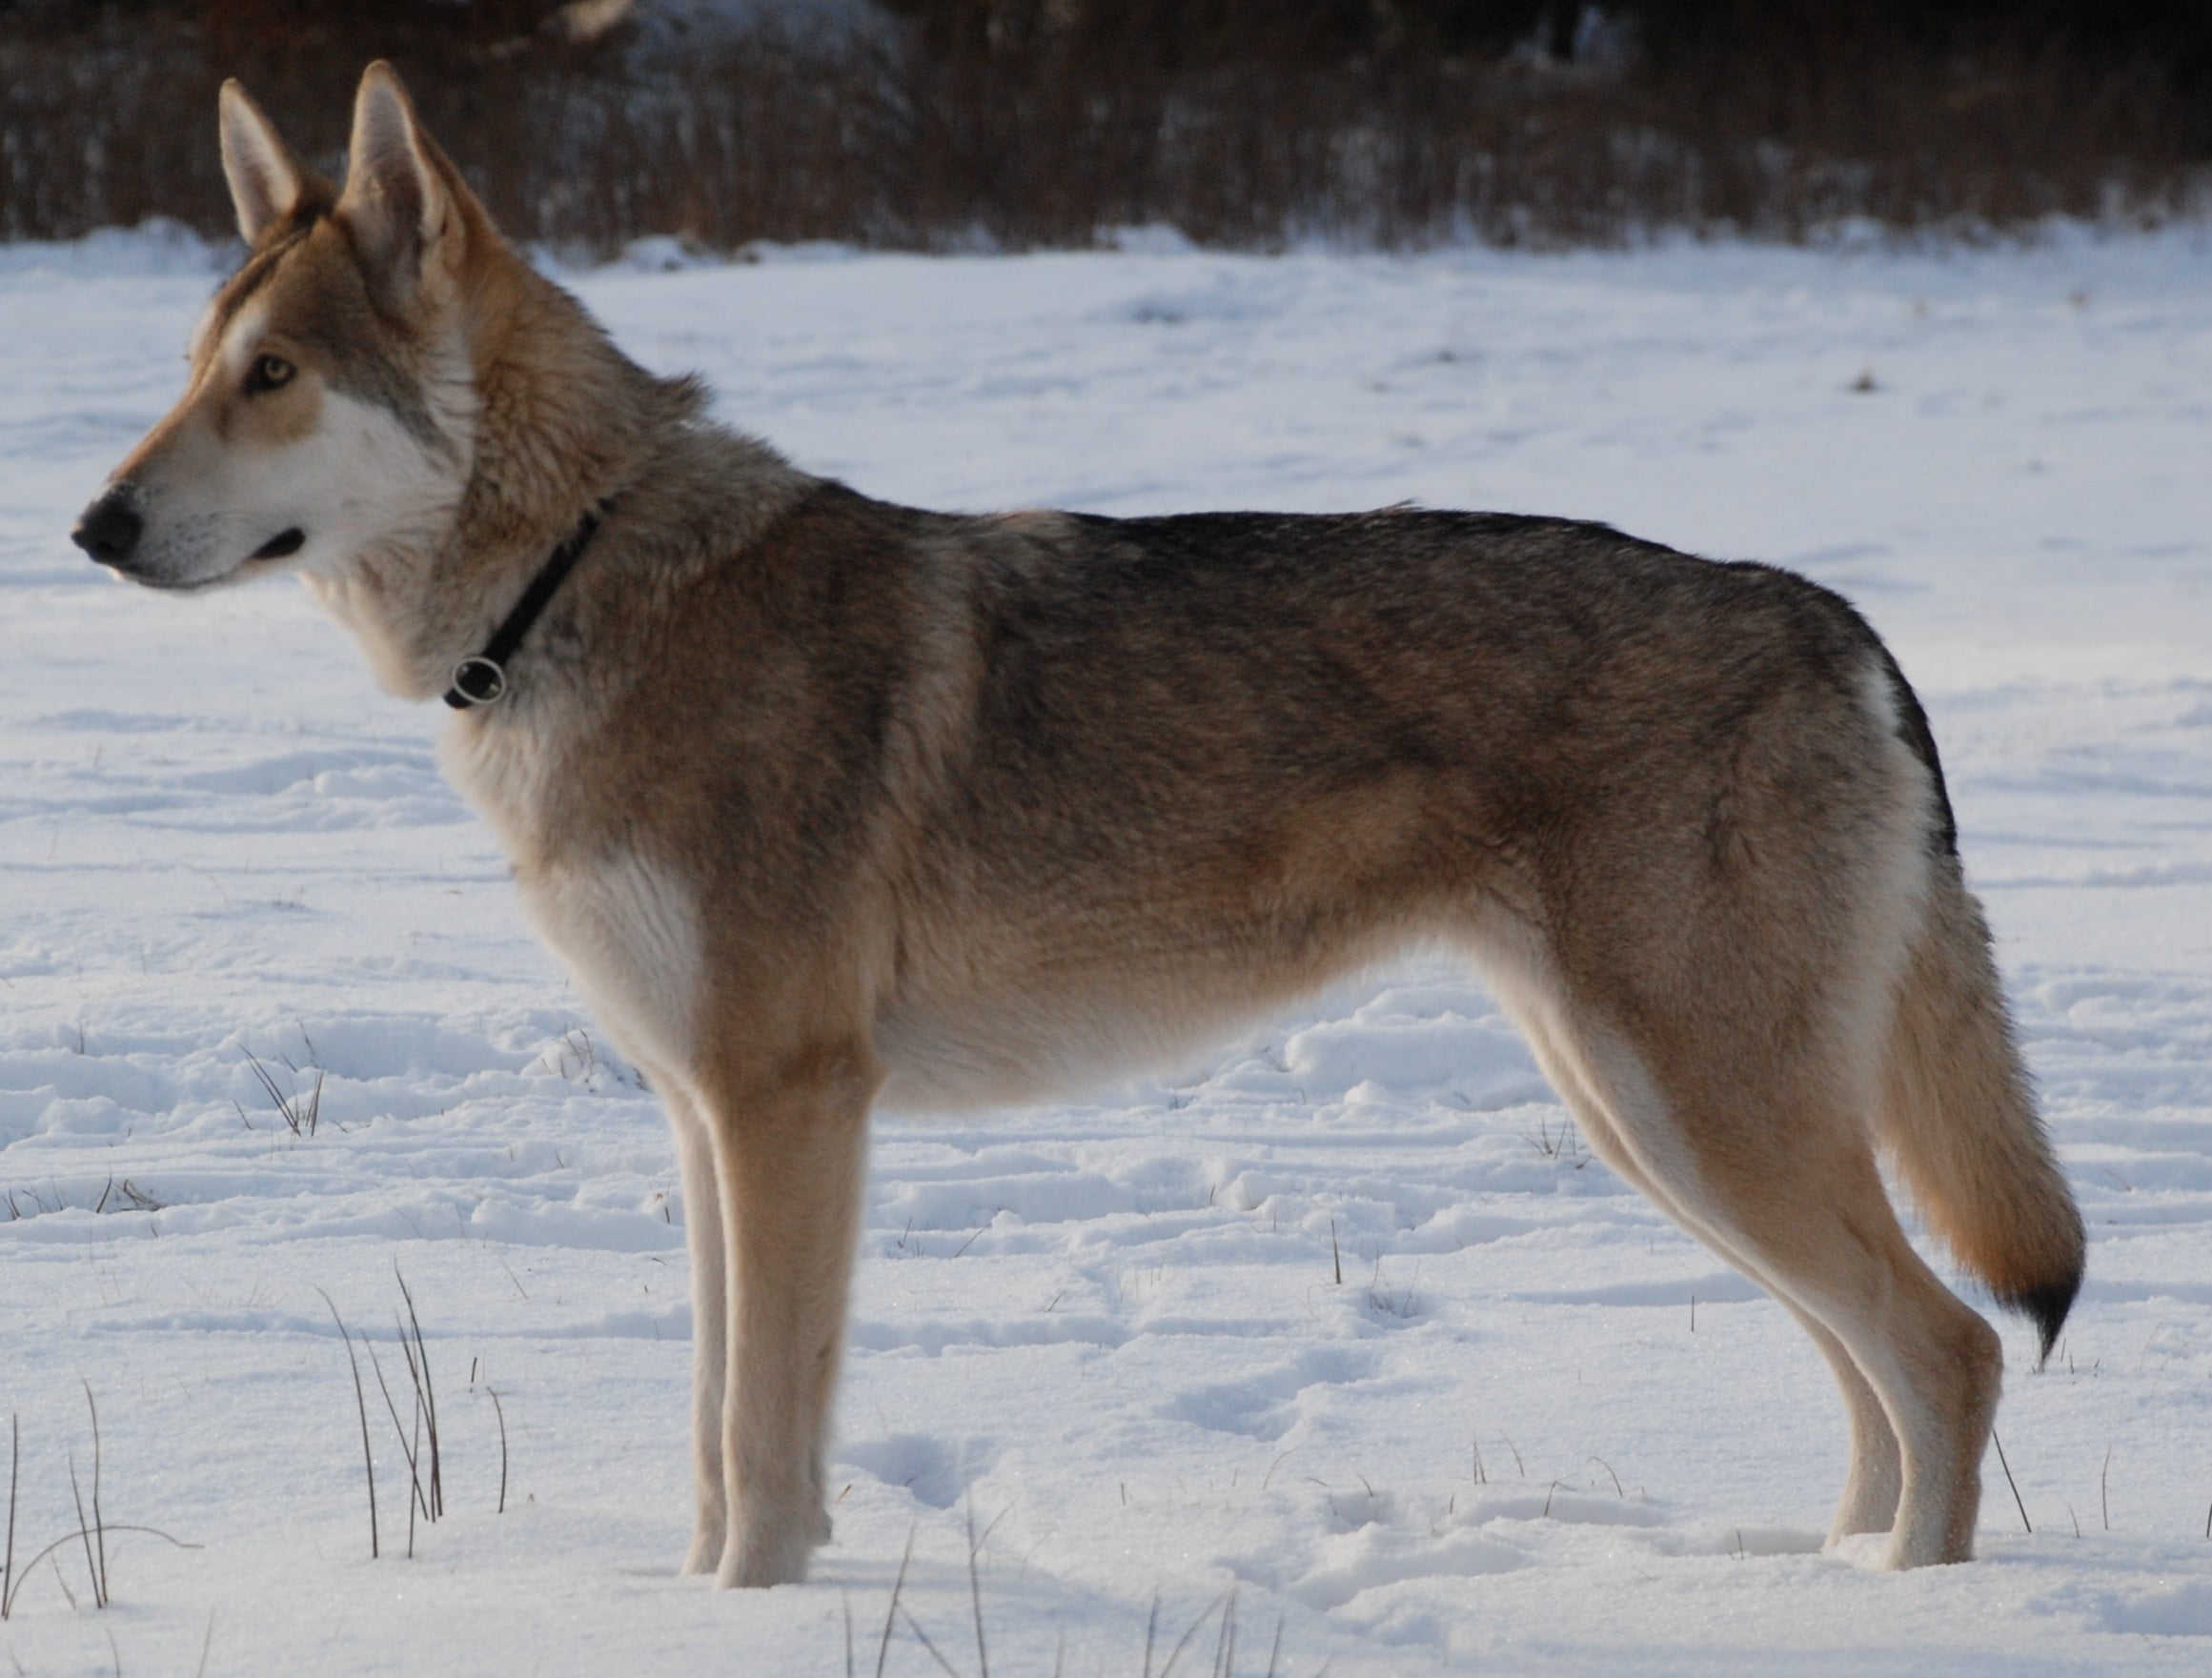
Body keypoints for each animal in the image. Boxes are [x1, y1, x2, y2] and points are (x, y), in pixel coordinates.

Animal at [69, 66, 2070, 1591]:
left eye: (271, 377)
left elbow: (764, 1444)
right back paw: (1833, 1577)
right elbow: (713, 1432)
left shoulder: (791, 1104)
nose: (88, 527)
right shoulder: (704, 1115)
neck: (578, 582)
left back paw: (1905, 1609)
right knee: (1875, 1374)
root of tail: (1836, 619)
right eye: (189, 363)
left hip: (1694, 1115)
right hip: (1652, 1121)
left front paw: (747, 1616)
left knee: (1956, 1347)